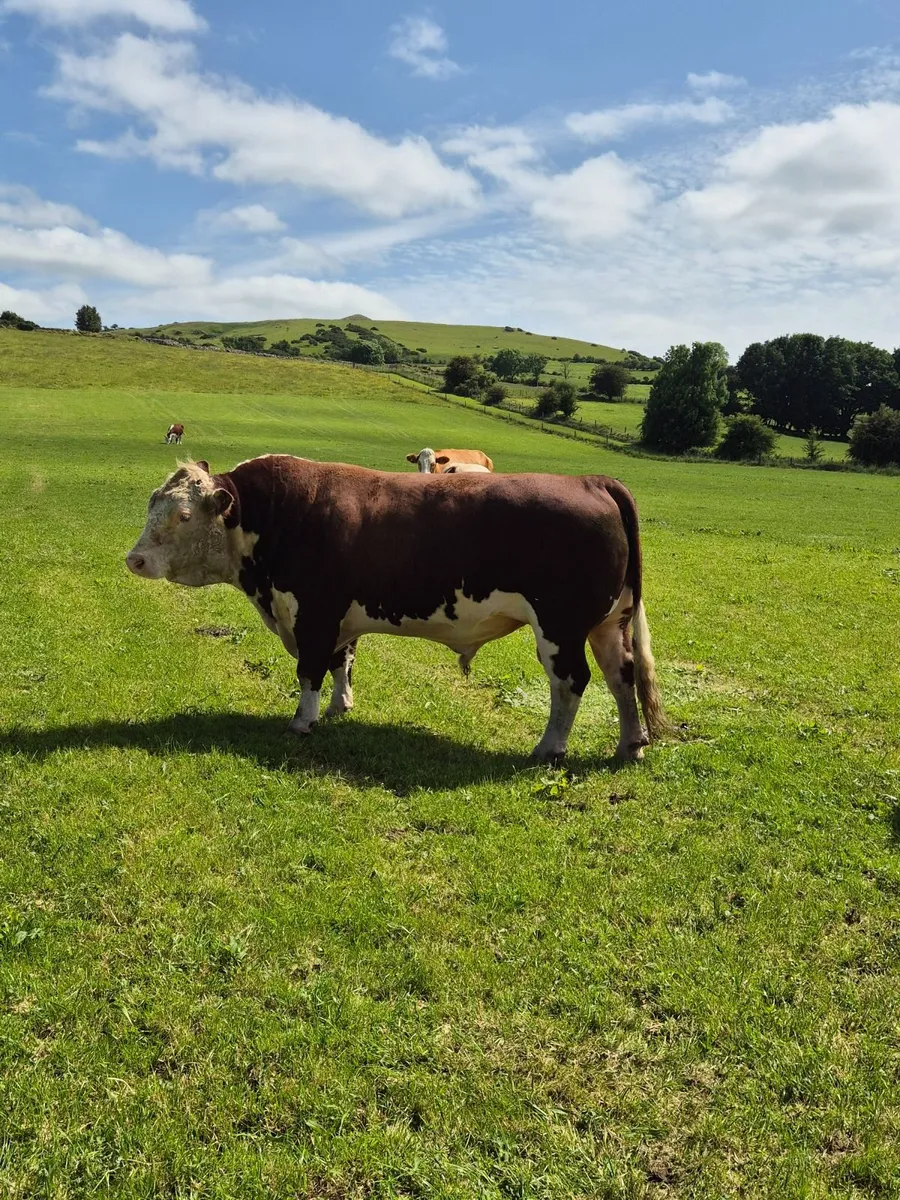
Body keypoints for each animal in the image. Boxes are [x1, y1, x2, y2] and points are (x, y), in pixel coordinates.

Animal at [126, 456, 667, 762]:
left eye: (183, 514)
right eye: (152, 503)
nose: (135, 559)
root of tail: (592, 480)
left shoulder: (313, 612)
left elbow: (310, 670)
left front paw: (303, 721)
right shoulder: (339, 618)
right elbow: (341, 662)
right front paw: (341, 706)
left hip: (560, 625)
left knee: (571, 681)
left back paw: (550, 748)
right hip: (608, 621)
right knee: (622, 675)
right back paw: (630, 744)